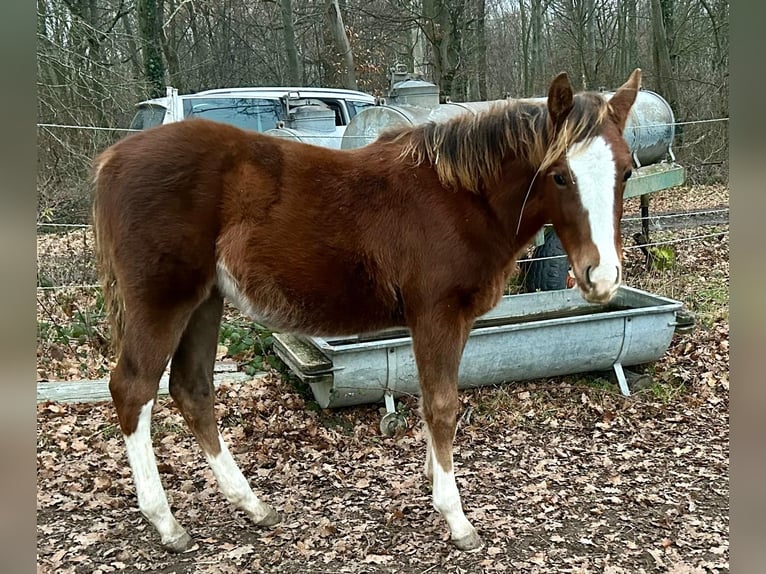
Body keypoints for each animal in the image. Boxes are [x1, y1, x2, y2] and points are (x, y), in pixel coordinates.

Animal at [91, 69, 641, 553]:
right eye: (559, 175)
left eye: (627, 170)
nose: (602, 276)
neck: (458, 196)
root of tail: (112, 158)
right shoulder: (437, 316)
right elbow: (442, 405)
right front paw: (456, 518)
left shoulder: (449, 321)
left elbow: (433, 401)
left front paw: (433, 478)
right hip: (163, 302)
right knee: (134, 390)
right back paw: (167, 525)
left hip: (204, 302)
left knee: (193, 390)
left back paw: (252, 506)